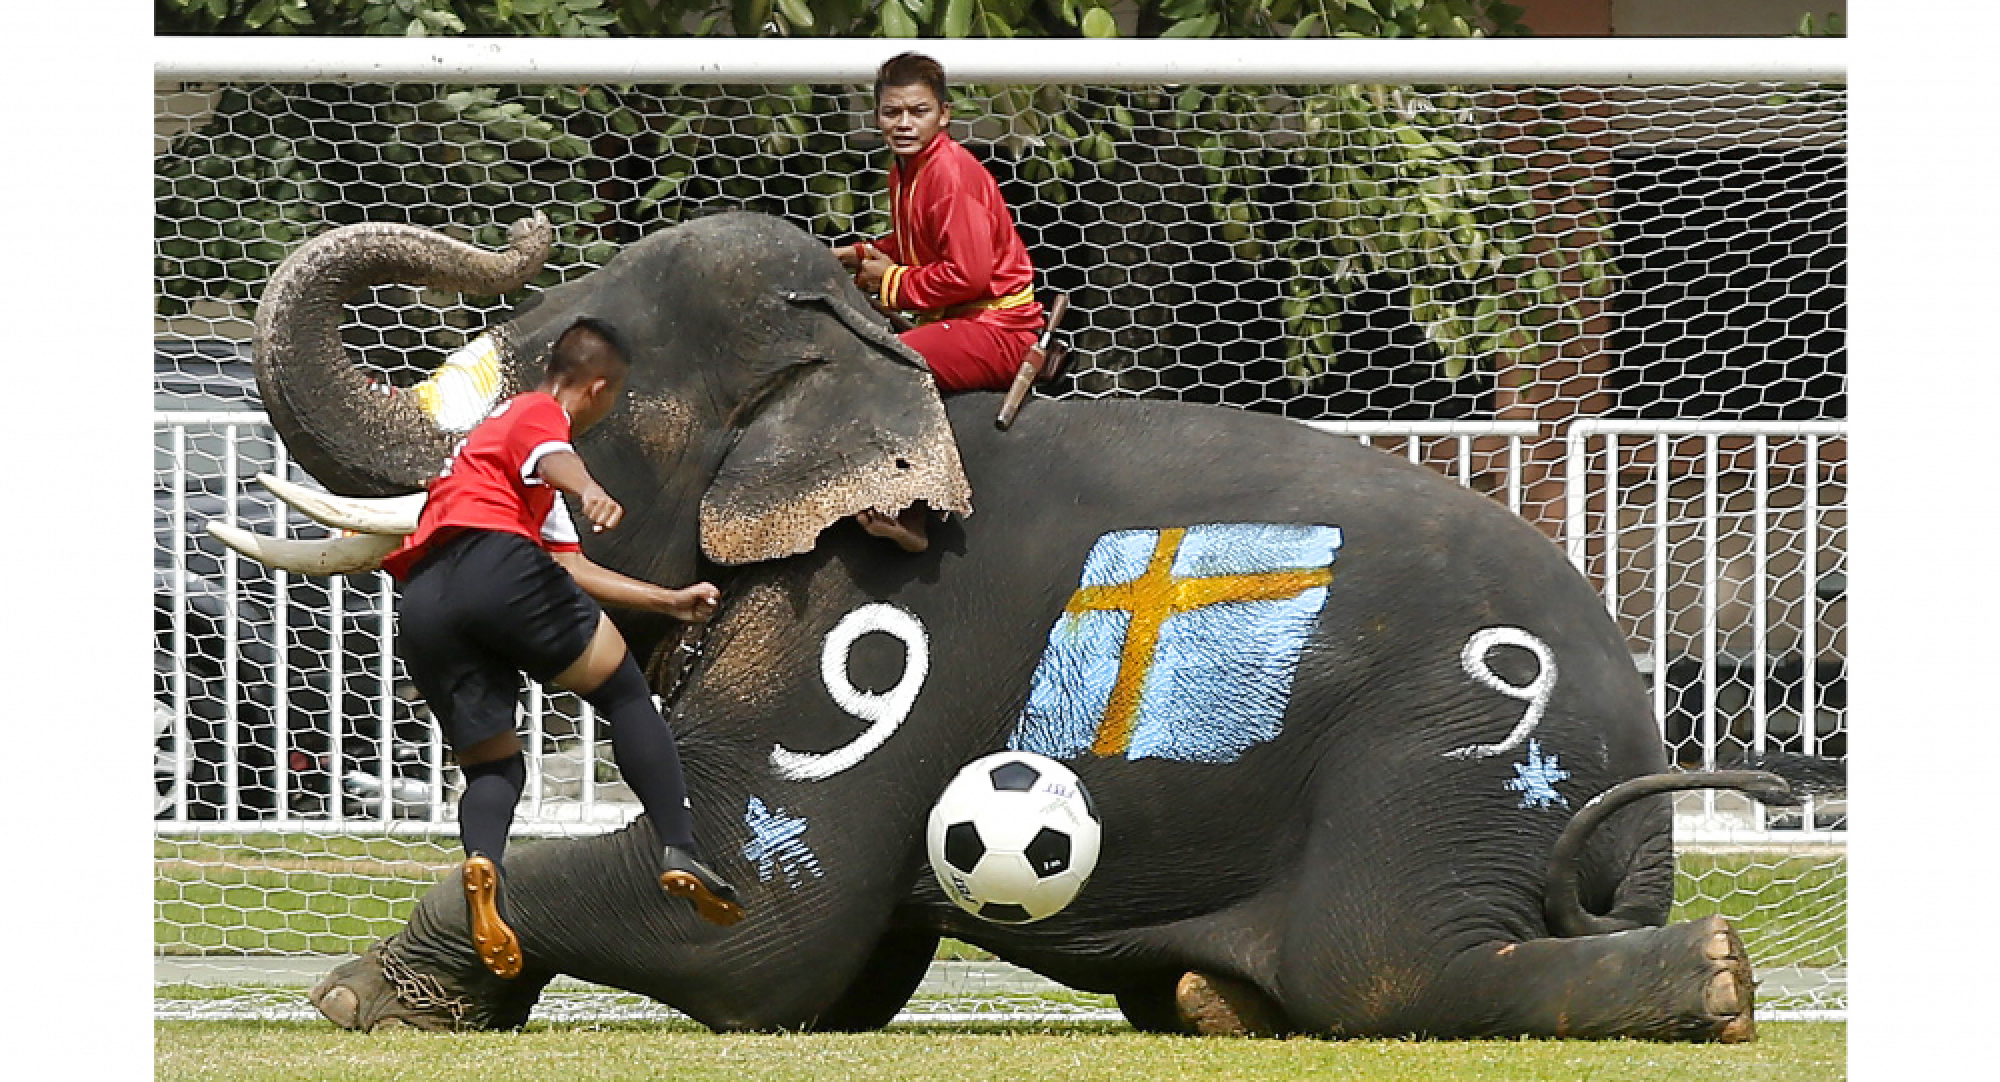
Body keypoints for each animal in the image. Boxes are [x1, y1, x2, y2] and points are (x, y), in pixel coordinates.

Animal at [221, 209, 1798, 1042]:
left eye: (572, 364)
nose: (519, 235)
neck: (863, 365)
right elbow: (831, 979)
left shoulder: (863, 640)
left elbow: (760, 930)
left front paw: (357, 1000)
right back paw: (1210, 1003)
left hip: (1449, 750)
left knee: (1387, 964)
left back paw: (1716, 979)